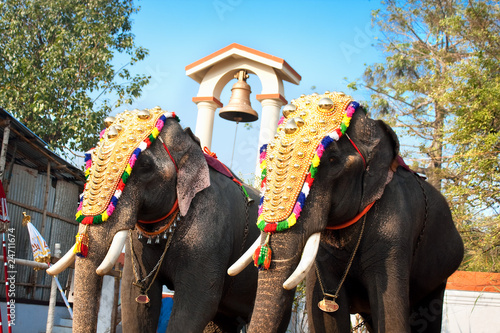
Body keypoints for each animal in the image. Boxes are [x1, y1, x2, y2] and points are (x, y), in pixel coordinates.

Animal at [230, 91, 464, 332]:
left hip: (439, 274)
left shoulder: (395, 231)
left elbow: (391, 313)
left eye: (333, 160)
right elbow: (324, 314)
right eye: (265, 156)